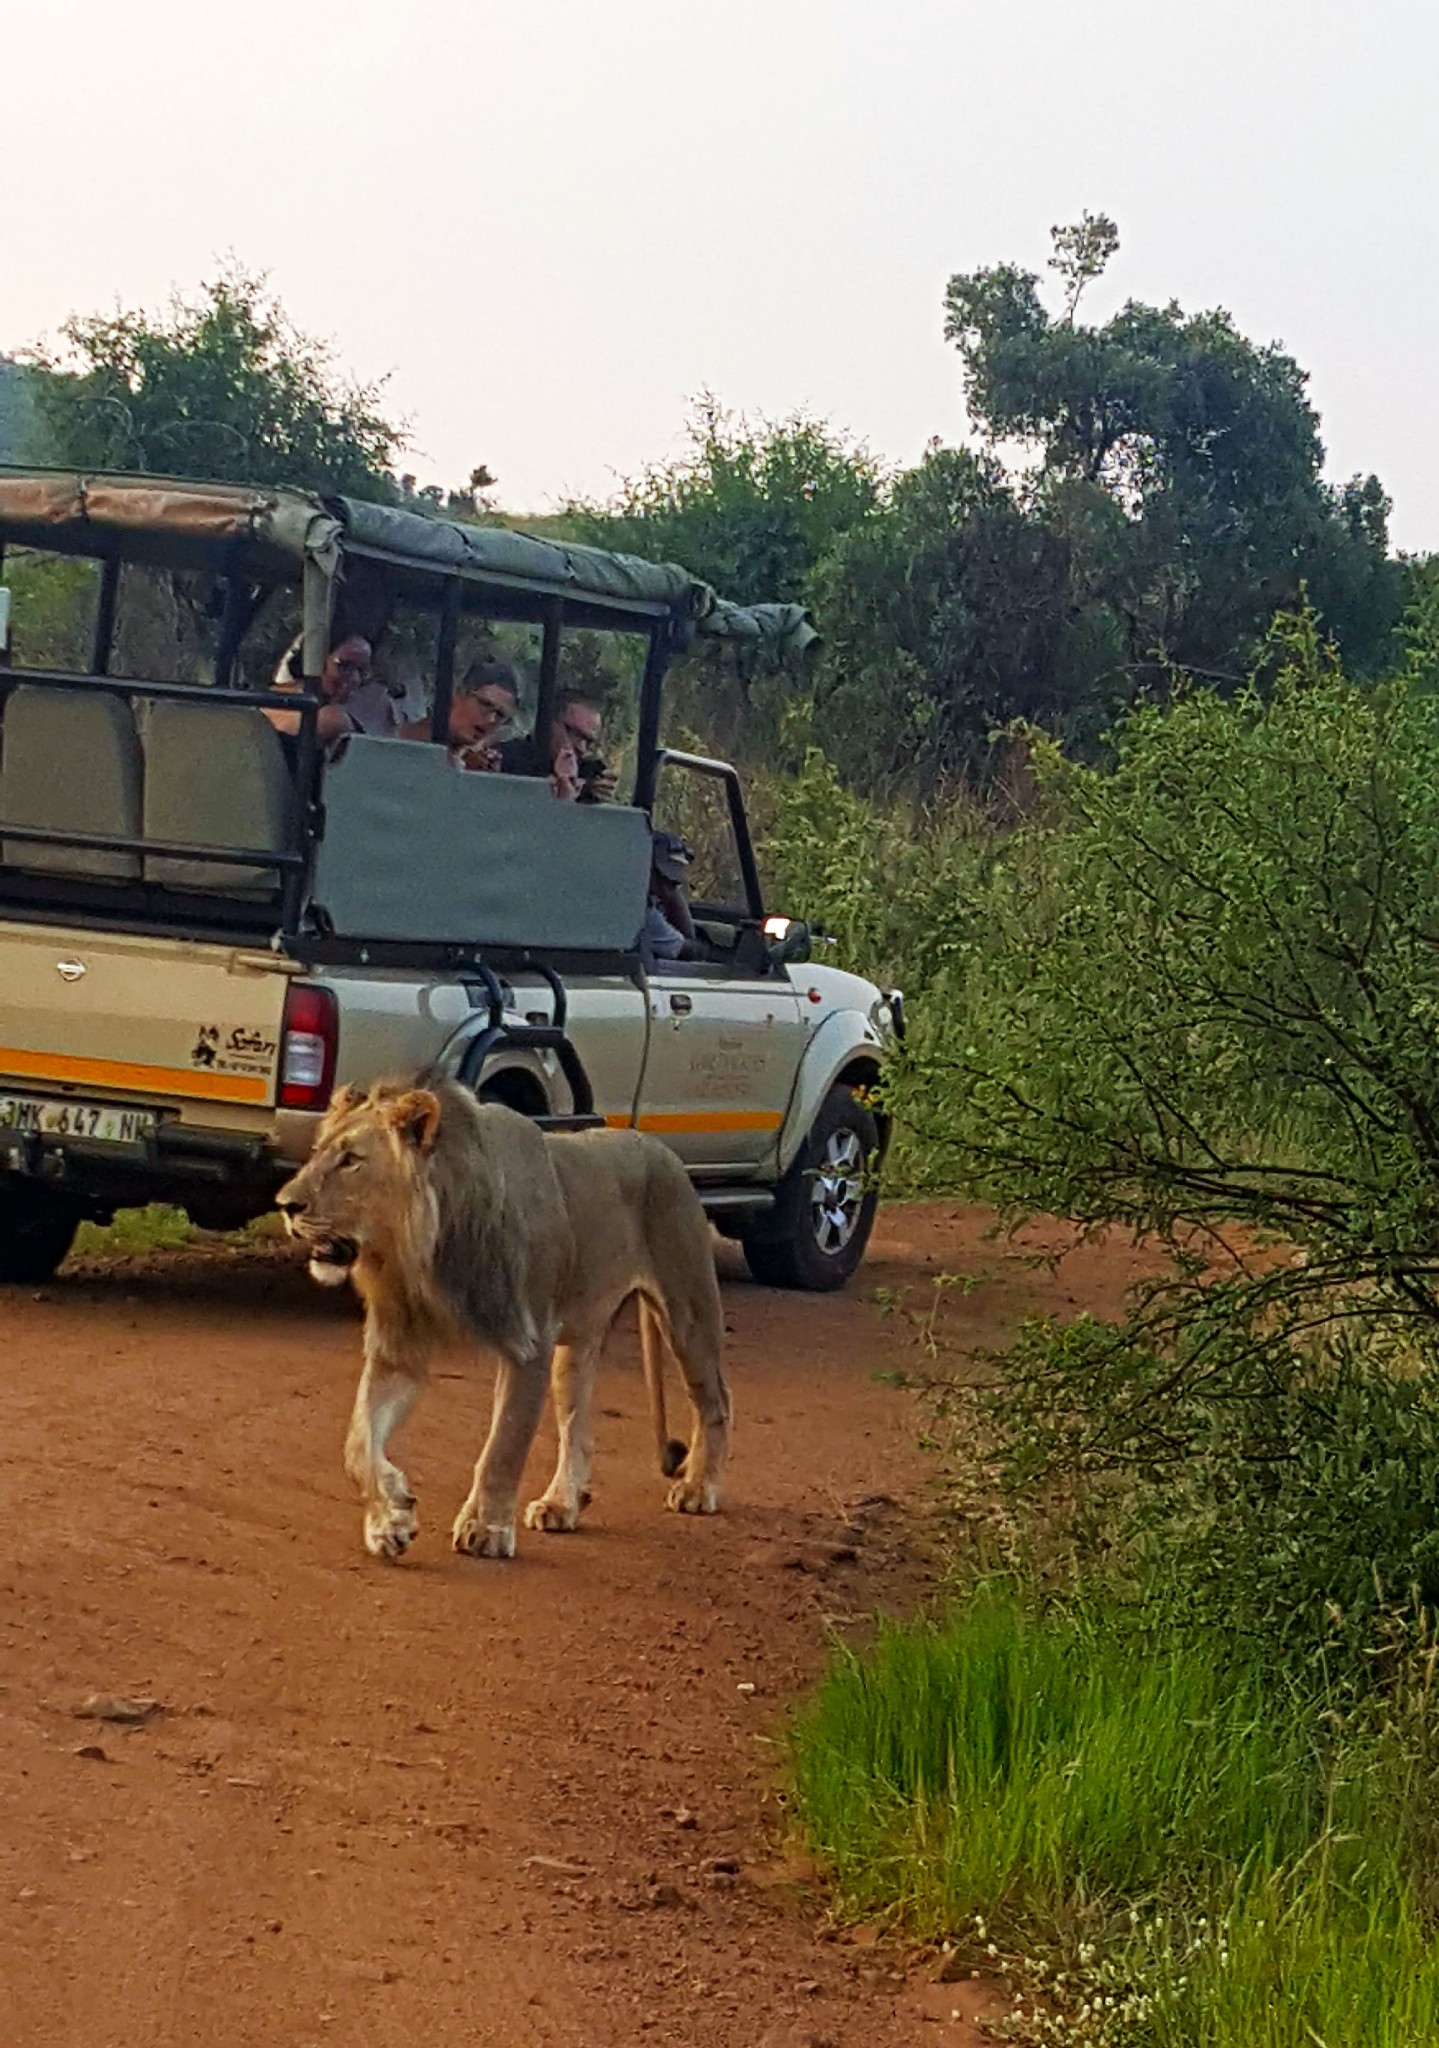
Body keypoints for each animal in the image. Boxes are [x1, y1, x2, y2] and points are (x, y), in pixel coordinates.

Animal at [274, 1081, 732, 1556]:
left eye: (351, 1160)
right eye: (315, 1152)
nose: (285, 1204)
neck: (420, 1254)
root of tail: (659, 1146)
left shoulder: (528, 1344)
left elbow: (504, 1444)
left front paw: (486, 1528)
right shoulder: (397, 1350)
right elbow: (358, 1442)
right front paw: (390, 1519)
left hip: (687, 1311)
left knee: (715, 1400)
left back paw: (698, 1487)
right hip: (578, 1344)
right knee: (578, 1428)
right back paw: (560, 1504)